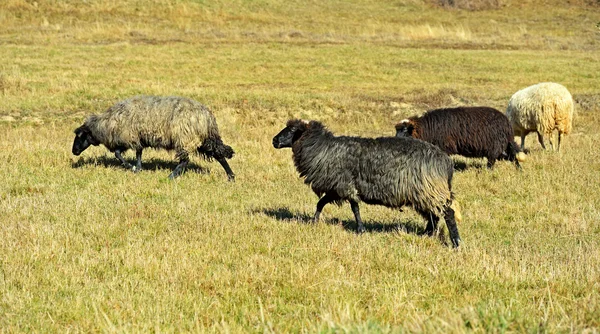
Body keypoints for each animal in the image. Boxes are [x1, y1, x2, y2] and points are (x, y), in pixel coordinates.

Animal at [72, 95, 234, 181]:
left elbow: (118, 154)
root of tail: (207, 117)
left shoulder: (127, 137)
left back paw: (171, 176)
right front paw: (138, 168)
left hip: (185, 138)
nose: (74, 151)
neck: (105, 124)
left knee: (185, 160)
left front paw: (131, 167)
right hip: (203, 139)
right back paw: (231, 176)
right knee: (219, 154)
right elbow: (138, 153)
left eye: (80, 136)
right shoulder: (137, 138)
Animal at [274, 118, 464, 248]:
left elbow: (354, 208)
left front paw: (360, 230)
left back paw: (456, 243)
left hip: (430, 189)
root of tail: (446, 162)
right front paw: (314, 221)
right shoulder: (336, 188)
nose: (274, 140)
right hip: (425, 193)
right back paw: (427, 234)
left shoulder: (346, 185)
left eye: (292, 130)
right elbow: (321, 203)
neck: (324, 148)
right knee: (434, 215)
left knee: (447, 213)